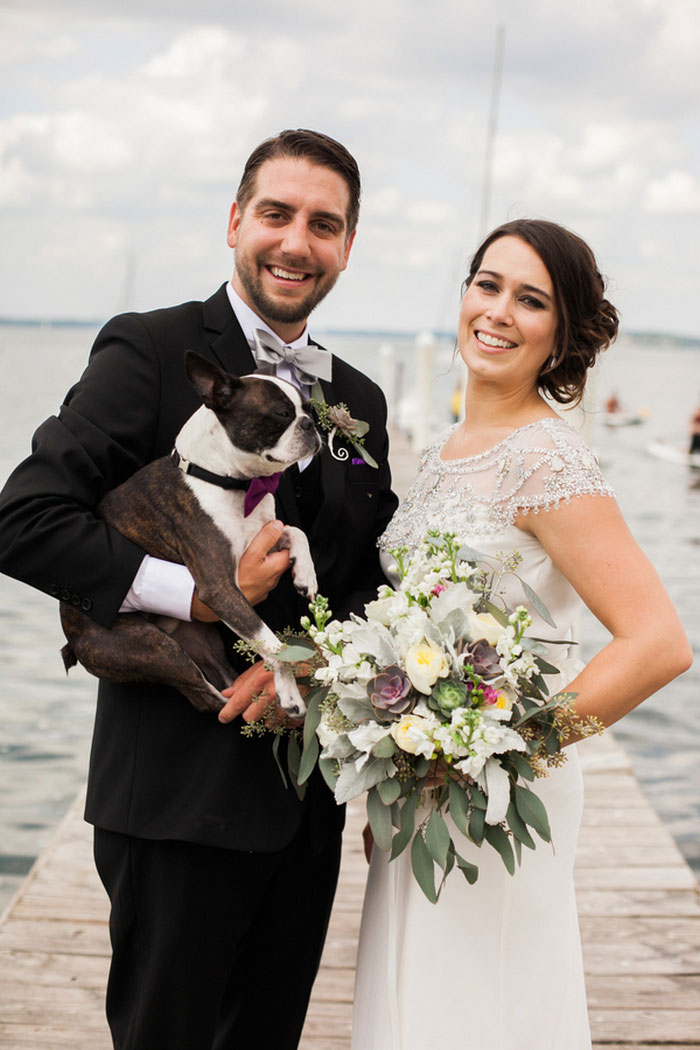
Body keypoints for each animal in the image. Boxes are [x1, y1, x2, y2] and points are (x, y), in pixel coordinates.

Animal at [60, 348, 323, 718]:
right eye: (281, 414)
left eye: (308, 409)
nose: (310, 424)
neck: (230, 482)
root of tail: (70, 637)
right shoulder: (220, 588)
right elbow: (273, 645)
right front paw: (288, 694)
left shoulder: (262, 538)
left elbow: (296, 531)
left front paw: (305, 575)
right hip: (154, 647)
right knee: (205, 697)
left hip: (199, 641)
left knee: (224, 682)